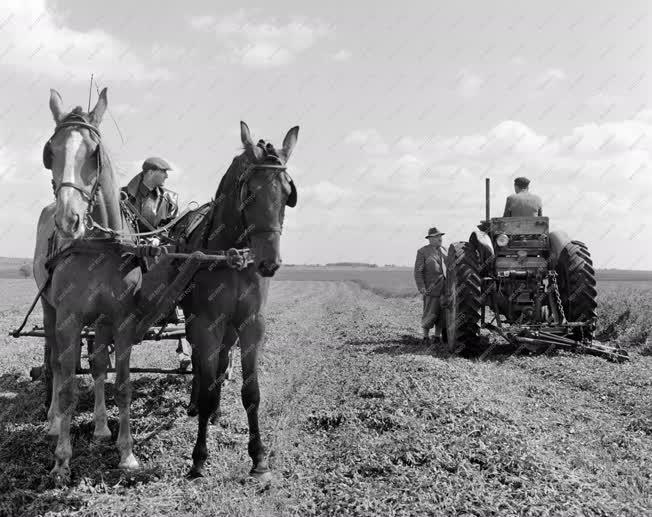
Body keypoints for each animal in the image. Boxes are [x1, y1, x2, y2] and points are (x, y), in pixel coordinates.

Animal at [181, 122, 298, 480]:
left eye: (287, 194)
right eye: (249, 192)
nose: (269, 263)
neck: (230, 257)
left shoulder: (251, 324)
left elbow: (251, 392)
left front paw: (258, 457)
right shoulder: (206, 323)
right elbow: (206, 384)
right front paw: (199, 457)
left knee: (220, 364)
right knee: (202, 368)